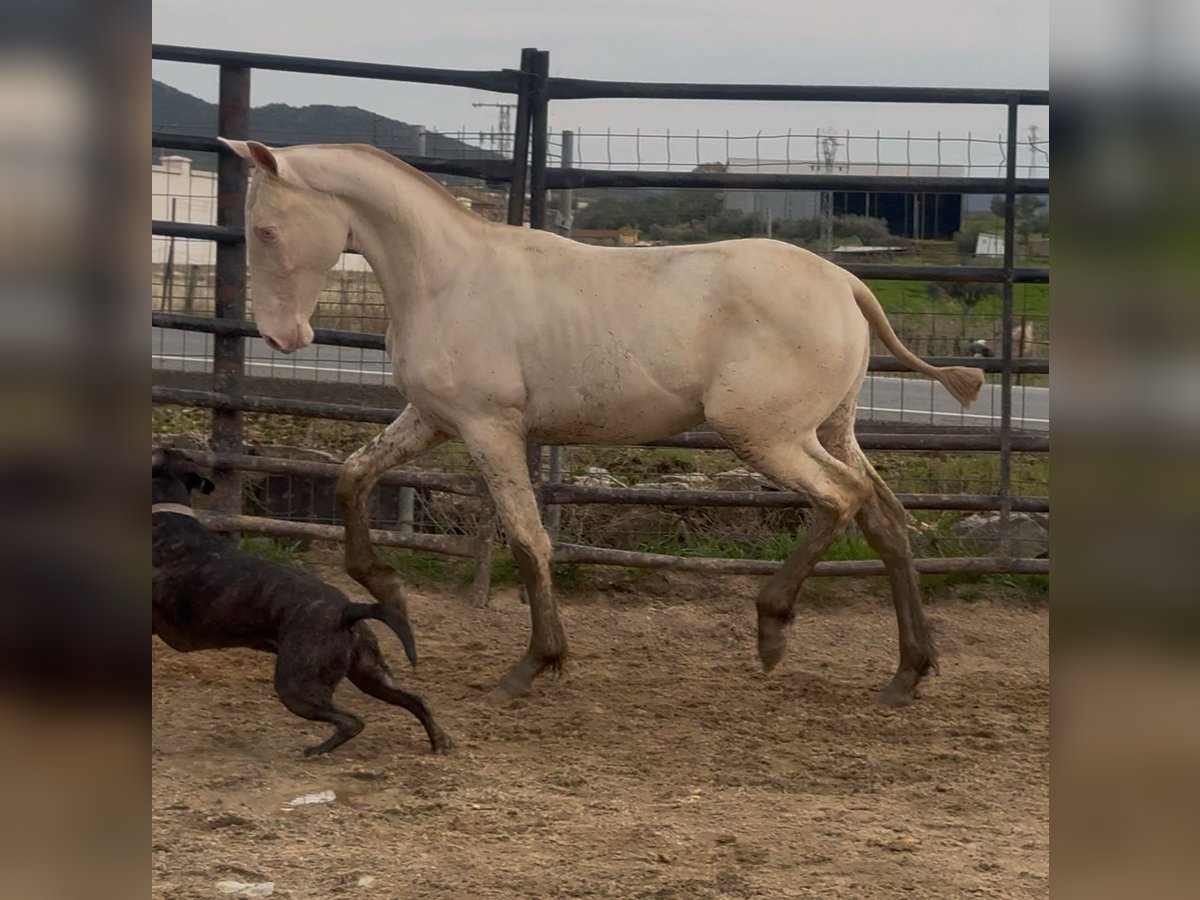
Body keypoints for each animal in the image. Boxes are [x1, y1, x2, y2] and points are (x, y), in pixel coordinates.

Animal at [151, 448, 451, 758]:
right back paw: (439, 742)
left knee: (351, 721)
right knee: (415, 700)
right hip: (371, 674)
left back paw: (316, 751)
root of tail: (347, 610)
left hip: (295, 686)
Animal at [218, 139, 984, 705]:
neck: (447, 277)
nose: (283, 336)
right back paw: (907, 673)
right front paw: (387, 588)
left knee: (840, 500)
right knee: (884, 516)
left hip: (766, 435)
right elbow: (352, 479)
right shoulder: (431, 420)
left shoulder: (490, 430)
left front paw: (531, 666)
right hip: (830, 430)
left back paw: (773, 629)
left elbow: (529, 540)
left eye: (266, 228)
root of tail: (849, 284)